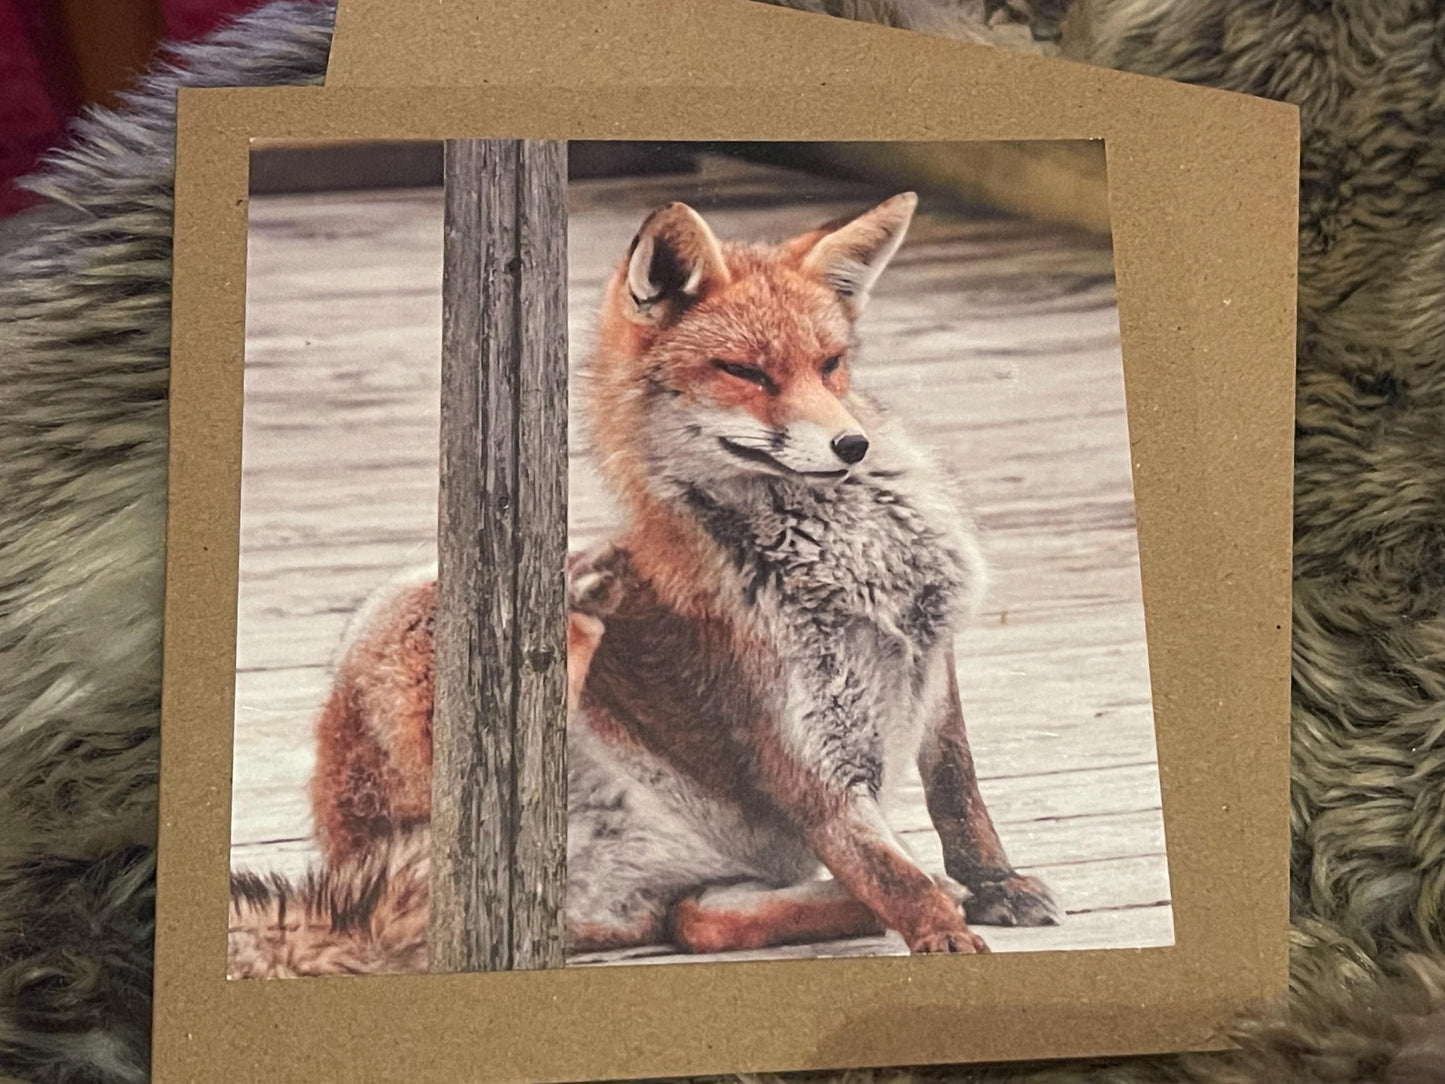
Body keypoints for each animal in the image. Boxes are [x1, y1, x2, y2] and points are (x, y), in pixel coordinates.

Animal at [309, 192, 1059, 958]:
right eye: (747, 373)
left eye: (830, 365)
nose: (852, 444)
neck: (853, 565)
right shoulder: (807, 757)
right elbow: (893, 875)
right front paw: (946, 939)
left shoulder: (932, 663)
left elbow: (957, 794)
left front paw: (993, 885)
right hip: (412, 608)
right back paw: (572, 604)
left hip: (684, 885)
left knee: (696, 920)